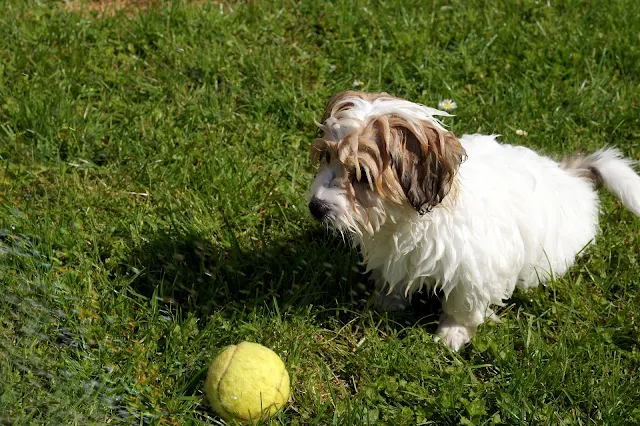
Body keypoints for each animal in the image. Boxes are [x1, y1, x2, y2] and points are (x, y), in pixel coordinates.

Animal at [306, 90, 640, 350]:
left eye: (362, 175)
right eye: (326, 157)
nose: (316, 207)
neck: (406, 218)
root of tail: (571, 176)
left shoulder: (477, 267)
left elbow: (463, 303)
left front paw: (452, 333)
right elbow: (394, 275)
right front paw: (387, 302)